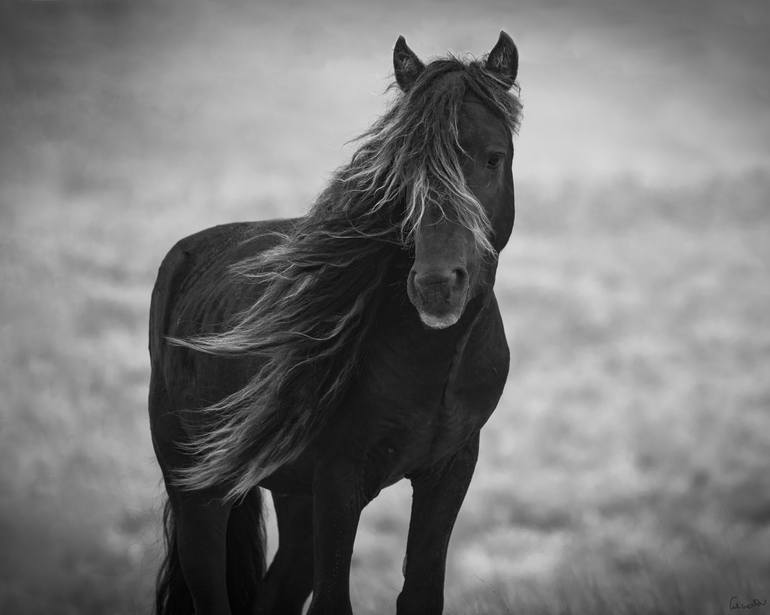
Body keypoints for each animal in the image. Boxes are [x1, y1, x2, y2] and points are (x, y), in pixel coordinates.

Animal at [148, 32, 520, 615]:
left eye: (493, 157)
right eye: (398, 169)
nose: (437, 285)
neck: (431, 365)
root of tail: (185, 253)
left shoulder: (449, 469)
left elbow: (420, 593)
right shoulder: (339, 482)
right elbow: (332, 601)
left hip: (294, 499)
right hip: (199, 493)